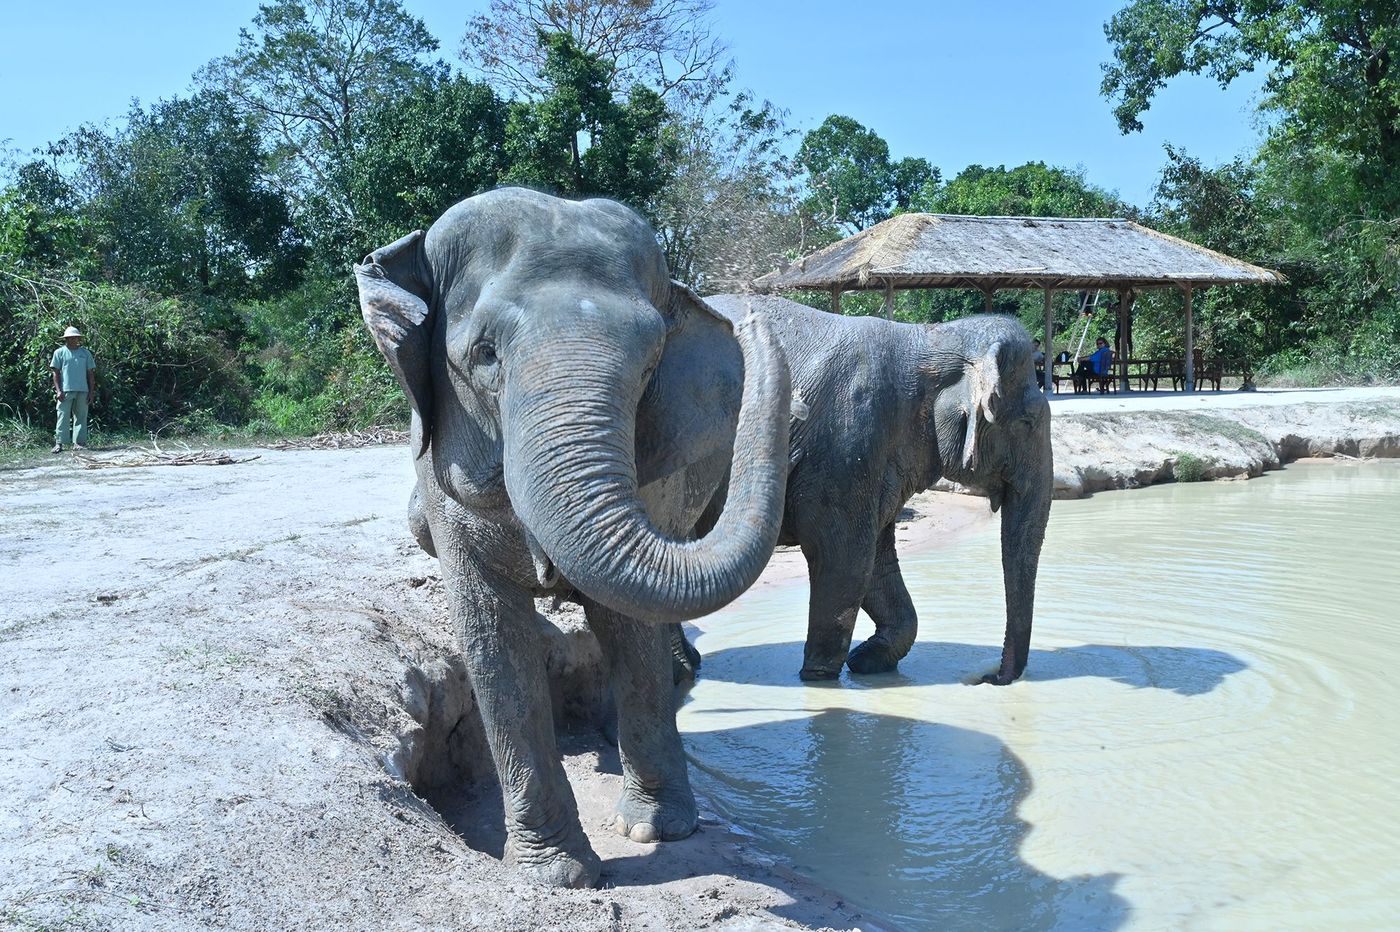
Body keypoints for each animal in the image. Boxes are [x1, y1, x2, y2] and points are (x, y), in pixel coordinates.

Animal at [356, 187, 793, 888]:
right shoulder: (442, 474)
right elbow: (491, 635)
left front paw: (654, 831)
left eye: (650, 365)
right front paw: (557, 875)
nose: (753, 315)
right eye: (484, 354)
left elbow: (629, 624)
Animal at [676, 293, 1052, 686]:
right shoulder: (845, 443)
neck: (930, 339)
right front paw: (818, 678)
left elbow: (875, 558)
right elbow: (845, 557)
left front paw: (866, 660)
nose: (993, 678)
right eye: (1027, 422)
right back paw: (685, 669)